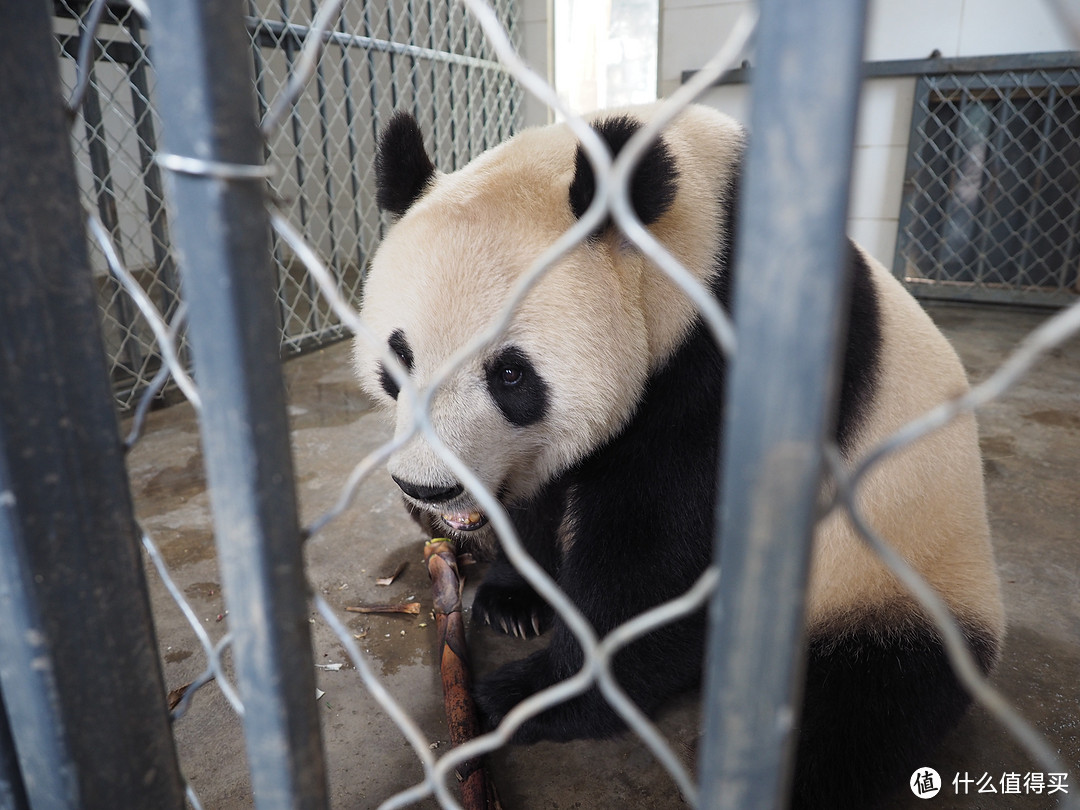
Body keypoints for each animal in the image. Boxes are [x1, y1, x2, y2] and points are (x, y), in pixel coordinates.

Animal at [354, 104, 1002, 807]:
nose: (428, 488)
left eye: (510, 375)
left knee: (868, 700)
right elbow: (544, 494)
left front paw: (535, 693)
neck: (695, 246)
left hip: (894, 569)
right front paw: (514, 600)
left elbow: (661, 550)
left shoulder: (725, 366)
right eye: (399, 359)